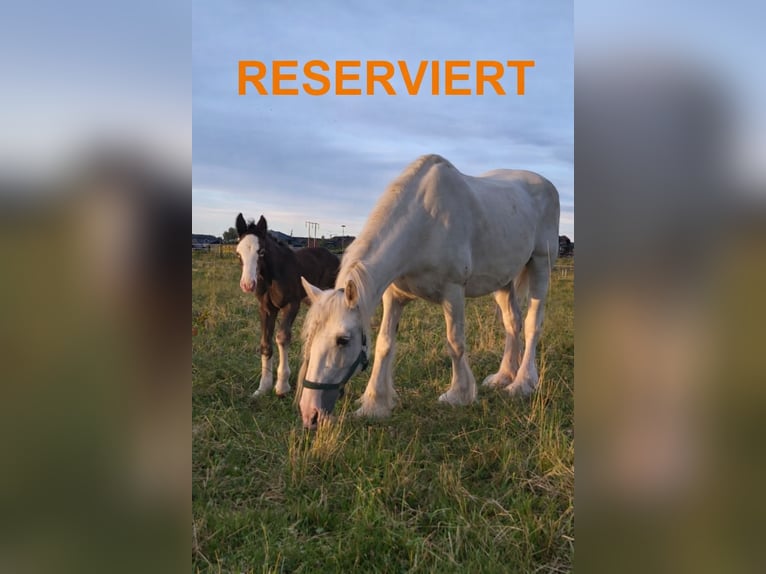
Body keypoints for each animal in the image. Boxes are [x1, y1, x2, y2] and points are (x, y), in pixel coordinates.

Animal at [235, 213, 340, 397]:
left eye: (261, 252)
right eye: (238, 253)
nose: (247, 284)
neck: (273, 275)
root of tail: (334, 256)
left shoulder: (291, 304)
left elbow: (282, 337)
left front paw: (282, 386)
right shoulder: (266, 309)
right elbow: (265, 342)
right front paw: (263, 387)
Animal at [298, 154, 559, 429]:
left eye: (343, 340)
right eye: (310, 336)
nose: (309, 413)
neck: (424, 223)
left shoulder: (453, 292)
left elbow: (455, 343)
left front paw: (459, 395)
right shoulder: (393, 297)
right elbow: (384, 344)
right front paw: (374, 403)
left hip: (541, 264)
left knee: (532, 324)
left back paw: (522, 383)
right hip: (502, 279)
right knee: (512, 322)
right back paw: (504, 376)